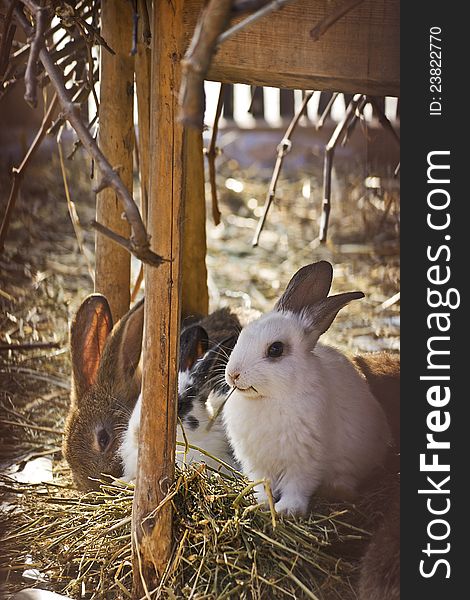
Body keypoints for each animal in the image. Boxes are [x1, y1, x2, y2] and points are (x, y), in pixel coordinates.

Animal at [222, 262, 392, 516]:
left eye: (275, 349)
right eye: (242, 335)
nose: (233, 374)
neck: (272, 398)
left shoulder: (305, 462)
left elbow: (297, 486)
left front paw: (287, 510)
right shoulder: (258, 464)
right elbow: (263, 485)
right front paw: (261, 503)